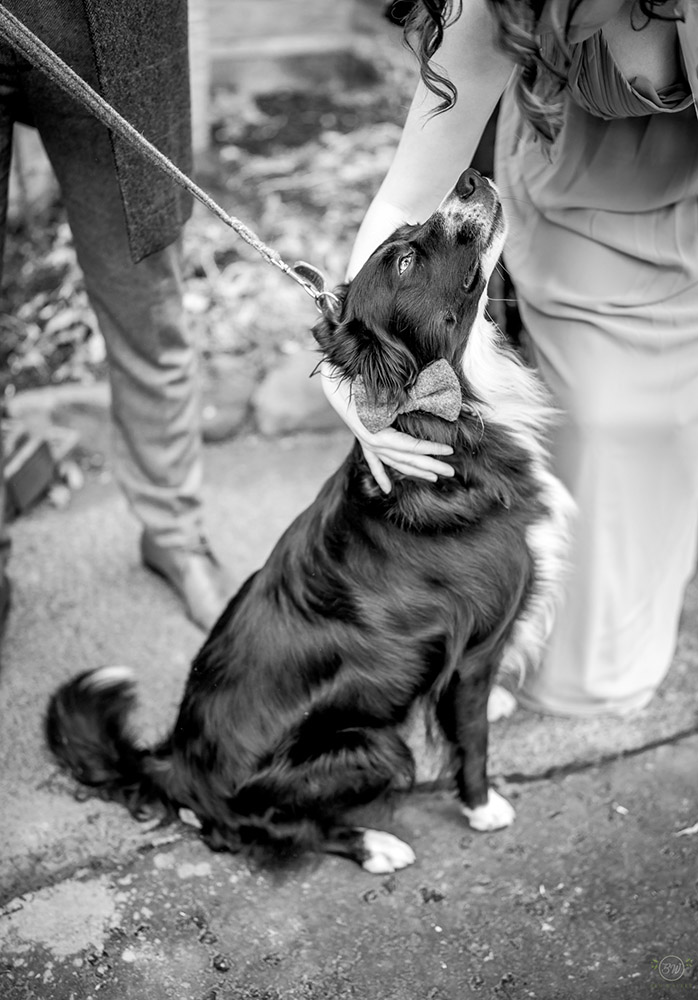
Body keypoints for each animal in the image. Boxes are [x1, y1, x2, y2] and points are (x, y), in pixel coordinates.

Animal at [47, 170, 572, 876]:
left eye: (408, 236)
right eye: (405, 261)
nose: (467, 177)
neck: (444, 417)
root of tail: (177, 765)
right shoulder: (474, 648)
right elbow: (472, 735)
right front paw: (482, 805)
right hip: (376, 746)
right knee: (271, 831)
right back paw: (375, 843)